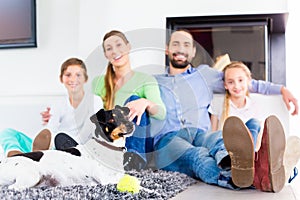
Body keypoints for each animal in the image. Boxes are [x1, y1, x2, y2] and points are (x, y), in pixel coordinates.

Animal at [0, 105, 135, 190]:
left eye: (126, 116)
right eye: (112, 119)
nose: (131, 124)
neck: (108, 146)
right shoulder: (106, 179)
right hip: (31, 176)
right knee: (12, 188)